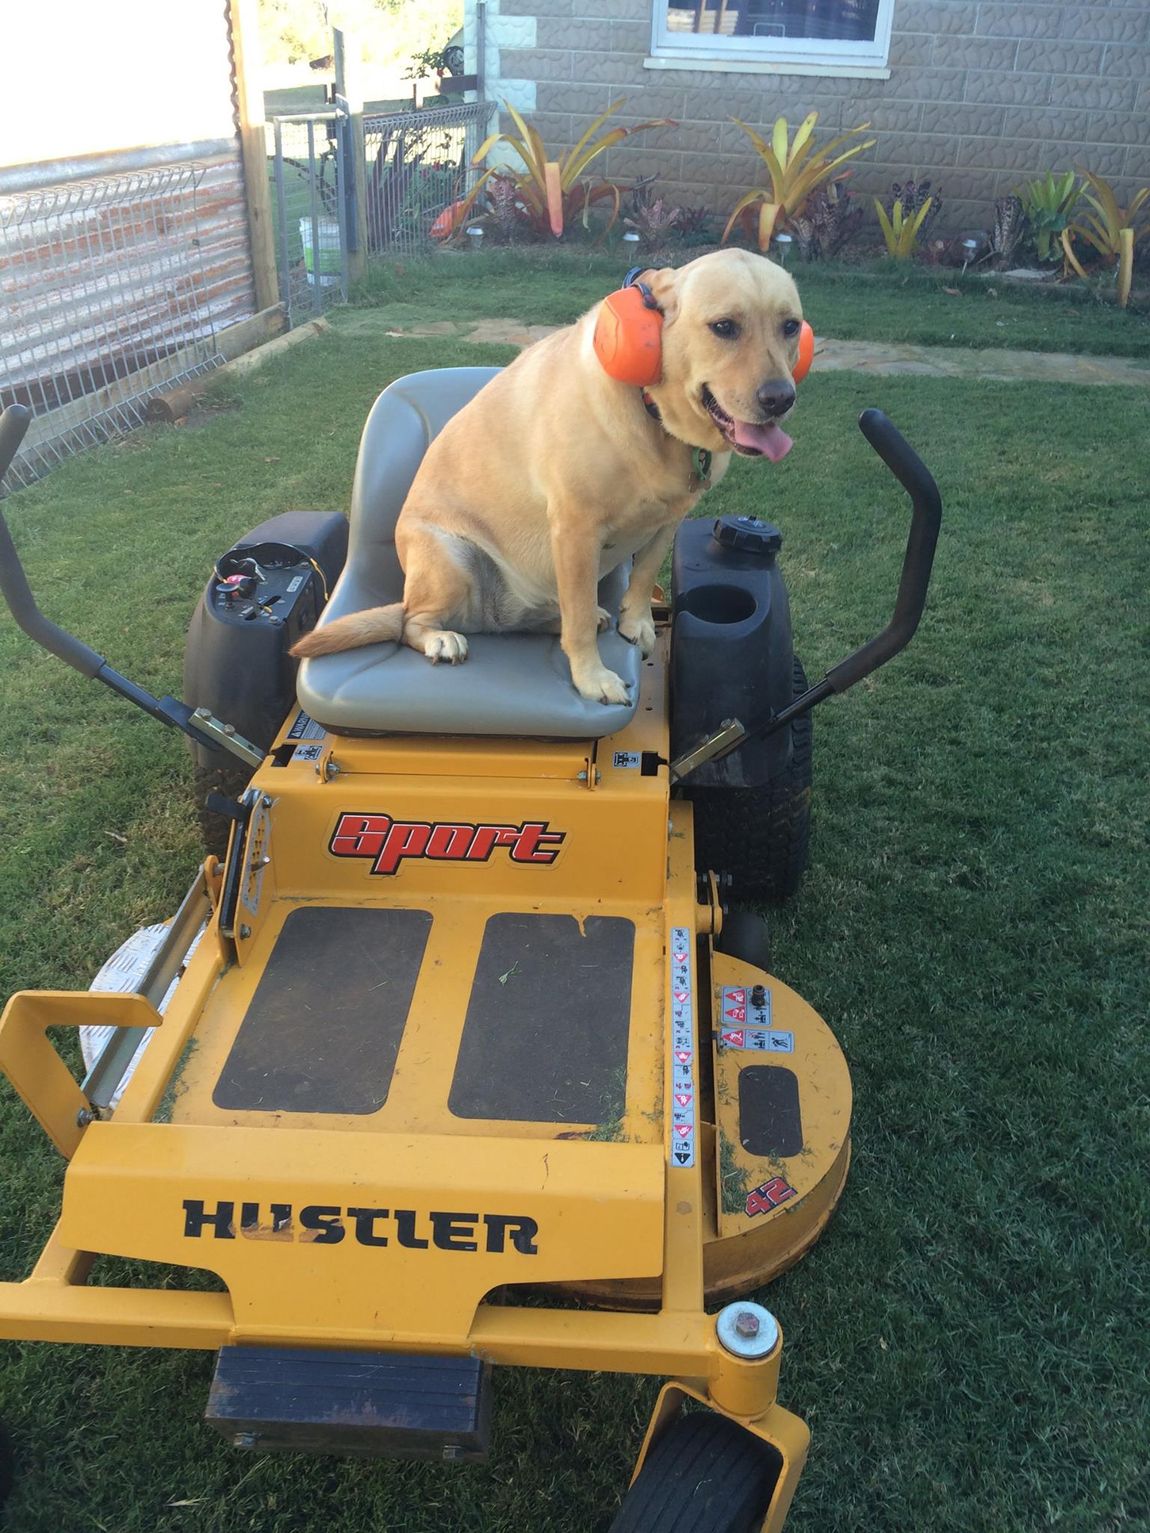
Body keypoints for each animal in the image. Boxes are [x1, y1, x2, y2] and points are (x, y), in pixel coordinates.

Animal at [292, 249, 803, 705]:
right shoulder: (576, 530)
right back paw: (443, 638)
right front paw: (592, 678)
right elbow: (577, 626)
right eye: (724, 327)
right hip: (451, 560)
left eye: (791, 326)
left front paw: (635, 623)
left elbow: (643, 575)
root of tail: (485, 619)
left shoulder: (670, 519)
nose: (781, 398)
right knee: (409, 623)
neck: (653, 415)